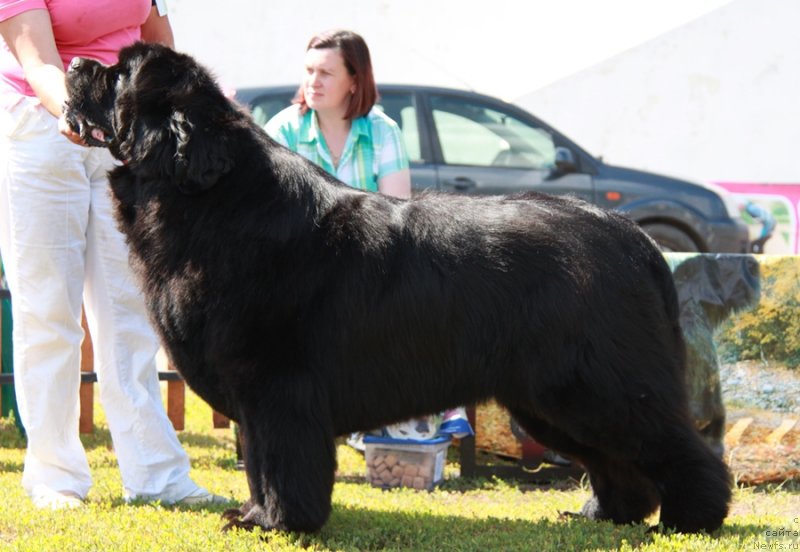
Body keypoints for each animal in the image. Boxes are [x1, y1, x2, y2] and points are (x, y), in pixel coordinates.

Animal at [65, 43, 732, 536]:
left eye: (118, 74)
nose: (73, 65)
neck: (210, 198)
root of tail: (631, 235)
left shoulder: (278, 387)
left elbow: (279, 460)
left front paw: (278, 523)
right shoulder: (256, 397)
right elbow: (256, 460)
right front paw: (254, 514)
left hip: (600, 384)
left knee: (680, 448)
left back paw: (689, 519)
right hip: (551, 398)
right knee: (617, 459)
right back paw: (602, 514)